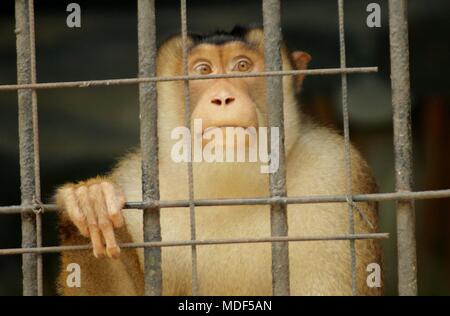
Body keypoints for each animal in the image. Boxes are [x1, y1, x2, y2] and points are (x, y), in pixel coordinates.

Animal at [54, 25, 382, 296]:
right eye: (203, 70)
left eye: (242, 66)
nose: (223, 97)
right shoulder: (135, 183)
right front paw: (90, 204)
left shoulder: (336, 173)